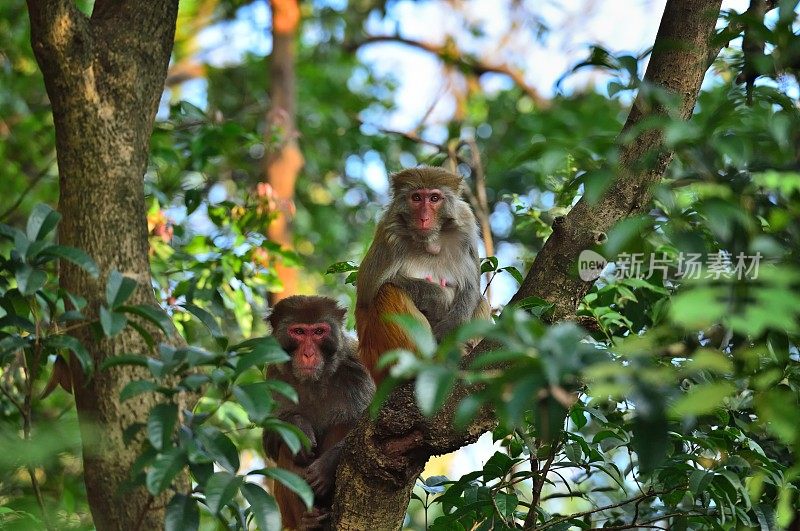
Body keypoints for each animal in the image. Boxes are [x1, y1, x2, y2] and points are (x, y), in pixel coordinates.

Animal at [262, 298, 376, 528]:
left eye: (318, 332)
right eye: (298, 331)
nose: (308, 354)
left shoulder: (359, 367)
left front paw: (327, 466)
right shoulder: (274, 376)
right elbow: (270, 441)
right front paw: (299, 427)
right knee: (288, 449)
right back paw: (309, 521)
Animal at [354, 166, 488, 382]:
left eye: (434, 198)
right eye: (416, 198)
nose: (424, 218)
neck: (430, 239)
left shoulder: (466, 225)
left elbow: (470, 289)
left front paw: (449, 331)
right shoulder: (389, 233)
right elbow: (368, 292)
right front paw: (437, 296)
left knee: (480, 301)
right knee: (388, 291)